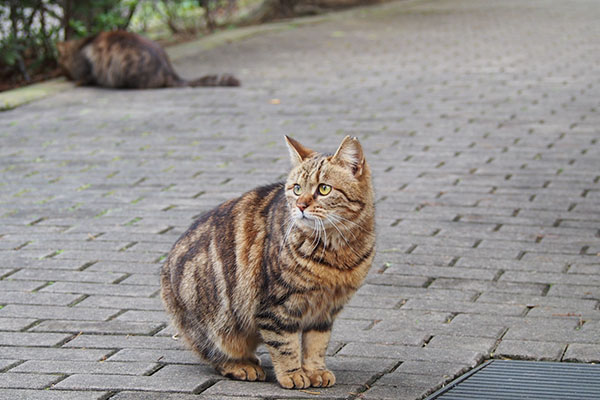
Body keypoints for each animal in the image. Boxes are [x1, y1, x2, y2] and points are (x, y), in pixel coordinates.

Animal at [56, 30, 239, 90]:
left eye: (62, 67)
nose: (63, 75)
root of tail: (169, 71)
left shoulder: (88, 67)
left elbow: (86, 76)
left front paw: (78, 81)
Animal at [159, 136, 376, 390]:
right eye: (297, 188)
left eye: (324, 189)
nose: (301, 206)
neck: (336, 249)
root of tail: (165, 267)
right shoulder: (276, 306)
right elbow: (285, 345)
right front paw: (292, 374)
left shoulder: (325, 311)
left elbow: (316, 345)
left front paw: (315, 371)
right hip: (216, 323)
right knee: (214, 352)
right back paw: (242, 365)